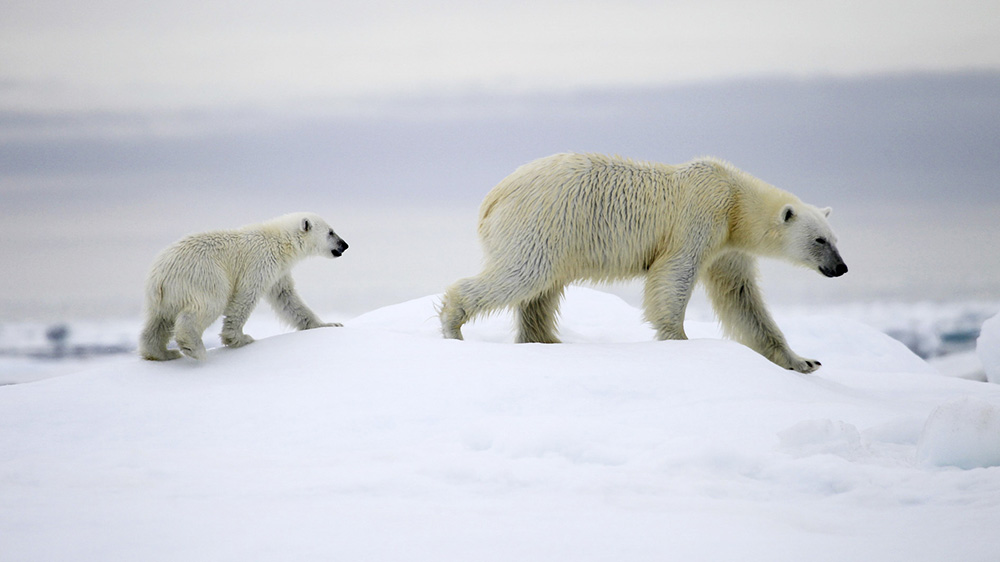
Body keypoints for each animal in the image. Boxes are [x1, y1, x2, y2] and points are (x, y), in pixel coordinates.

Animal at [138, 212, 348, 360]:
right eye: (331, 232)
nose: (345, 245)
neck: (279, 241)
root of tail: (160, 277)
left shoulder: (278, 272)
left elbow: (287, 298)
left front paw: (329, 324)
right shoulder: (261, 261)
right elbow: (246, 295)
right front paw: (239, 338)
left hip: (163, 296)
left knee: (158, 321)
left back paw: (162, 353)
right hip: (202, 276)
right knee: (209, 304)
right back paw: (194, 347)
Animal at [442, 153, 848, 372]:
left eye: (835, 238)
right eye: (819, 240)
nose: (841, 268)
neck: (736, 200)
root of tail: (493, 197)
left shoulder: (728, 248)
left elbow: (741, 298)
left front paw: (804, 361)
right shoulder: (700, 218)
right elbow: (673, 276)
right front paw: (679, 340)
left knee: (541, 294)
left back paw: (546, 340)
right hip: (544, 223)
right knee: (524, 275)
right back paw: (452, 326)